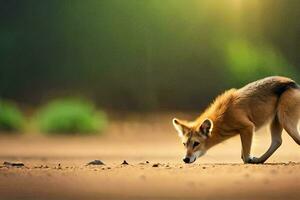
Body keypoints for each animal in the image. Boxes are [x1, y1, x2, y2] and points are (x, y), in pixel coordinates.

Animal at [172, 76, 300, 163]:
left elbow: (246, 157)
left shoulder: (248, 127)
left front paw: (249, 160)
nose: (185, 159)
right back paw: (259, 160)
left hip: (285, 122)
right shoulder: (244, 131)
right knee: (277, 141)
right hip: (276, 122)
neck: (223, 115)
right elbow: (243, 156)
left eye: (196, 143)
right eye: (184, 144)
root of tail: (294, 84)